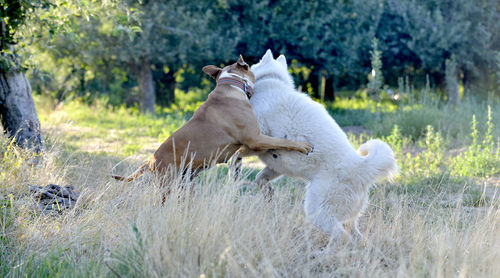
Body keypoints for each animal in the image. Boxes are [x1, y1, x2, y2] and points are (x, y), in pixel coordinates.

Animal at [112, 55, 312, 186]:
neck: (231, 85)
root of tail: (151, 161)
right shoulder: (255, 138)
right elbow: (283, 141)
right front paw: (303, 146)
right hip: (167, 185)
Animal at [240, 50, 400, 239]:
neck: (272, 79)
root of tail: (362, 168)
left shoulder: (258, 136)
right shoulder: (276, 166)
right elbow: (260, 178)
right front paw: (268, 192)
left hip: (318, 212)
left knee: (342, 238)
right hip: (349, 220)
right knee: (357, 238)